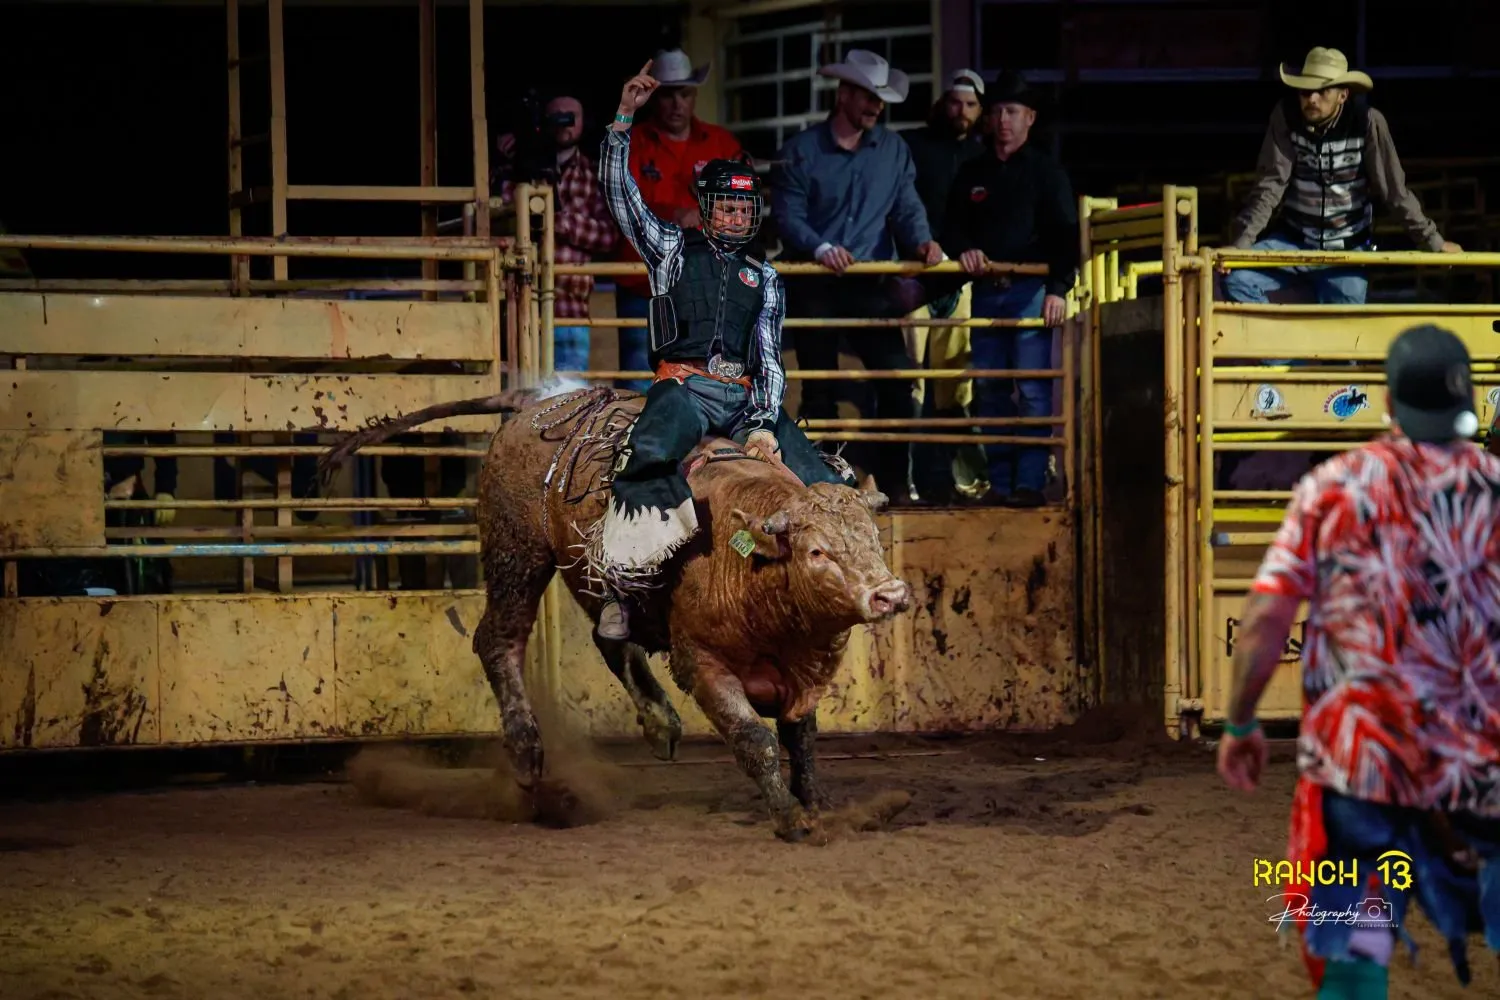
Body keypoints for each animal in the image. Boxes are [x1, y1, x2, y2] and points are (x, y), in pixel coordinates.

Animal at [319, 384, 912, 841]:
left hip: (587, 571)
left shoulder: (801, 669)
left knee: (609, 636)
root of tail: (537, 406)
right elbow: (755, 740)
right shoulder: (703, 665)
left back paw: (658, 721)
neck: (747, 563)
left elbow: (802, 740)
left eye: (872, 538)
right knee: (499, 639)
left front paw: (818, 805)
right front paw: (791, 819)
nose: (888, 593)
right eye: (816, 552)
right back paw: (529, 756)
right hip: (516, 549)